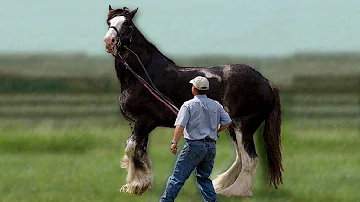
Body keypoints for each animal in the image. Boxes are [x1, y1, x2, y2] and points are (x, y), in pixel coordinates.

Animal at [102, 5, 282, 196]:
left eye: (127, 24)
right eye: (109, 22)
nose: (109, 42)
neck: (143, 73)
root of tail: (265, 81)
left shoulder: (146, 120)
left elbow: (131, 148)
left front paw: (135, 186)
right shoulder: (136, 122)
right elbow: (140, 151)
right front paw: (139, 184)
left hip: (244, 125)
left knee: (249, 159)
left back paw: (235, 192)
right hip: (233, 126)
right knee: (240, 157)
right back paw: (220, 184)